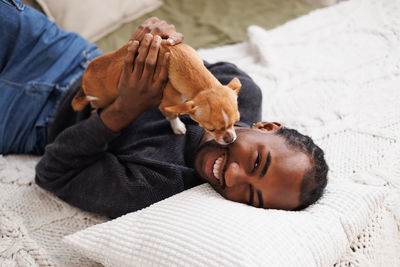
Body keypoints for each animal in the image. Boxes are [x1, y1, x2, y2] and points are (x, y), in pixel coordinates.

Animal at [71, 40, 241, 144]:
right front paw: (178, 127)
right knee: (95, 108)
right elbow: (172, 115)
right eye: (211, 129)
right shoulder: (168, 103)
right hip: (101, 99)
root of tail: (84, 77)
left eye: (235, 122)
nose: (230, 139)